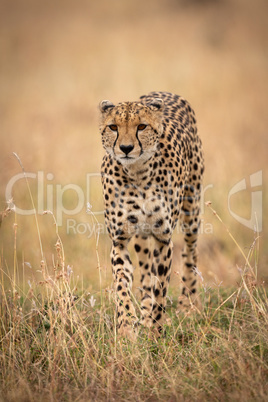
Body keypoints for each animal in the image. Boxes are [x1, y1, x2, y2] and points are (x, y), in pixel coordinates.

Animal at [99, 92, 204, 340]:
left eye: (142, 126)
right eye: (113, 127)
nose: (126, 148)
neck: (137, 173)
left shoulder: (163, 239)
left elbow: (161, 288)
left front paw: (156, 330)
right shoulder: (119, 241)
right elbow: (122, 286)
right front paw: (127, 327)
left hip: (192, 209)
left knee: (190, 252)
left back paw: (187, 305)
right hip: (142, 238)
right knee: (146, 272)